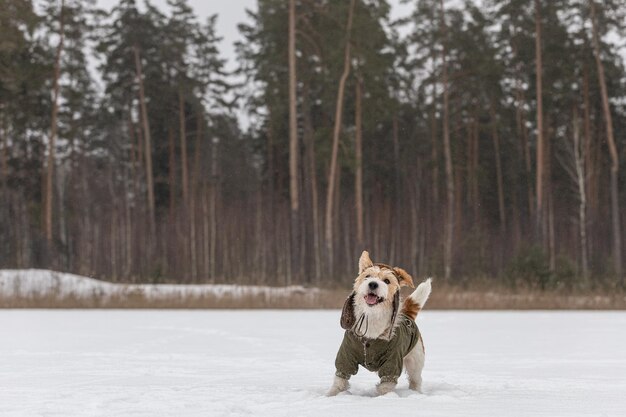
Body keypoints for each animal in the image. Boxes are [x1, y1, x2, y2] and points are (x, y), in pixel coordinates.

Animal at [324, 249, 432, 394]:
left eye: (386, 281)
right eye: (368, 276)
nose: (373, 284)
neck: (372, 317)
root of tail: (407, 315)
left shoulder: (393, 362)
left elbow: (386, 384)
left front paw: (382, 396)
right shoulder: (346, 355)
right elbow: (340, 379)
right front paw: (331, 394)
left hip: (415, 360)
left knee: (416, 380)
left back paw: (415, 393)